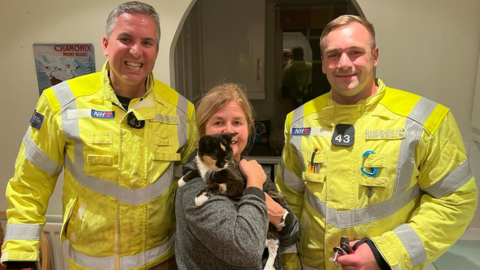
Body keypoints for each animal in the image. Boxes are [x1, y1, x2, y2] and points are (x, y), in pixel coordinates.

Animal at [178, 133, 286, 270]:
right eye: (214, 156)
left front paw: (200, 197)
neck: (209, 168)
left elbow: (217, 185)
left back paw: (268, 266)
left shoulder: (238, 182)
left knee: (274, 246)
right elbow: (195, 171)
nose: (222, 165)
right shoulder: (202, 168)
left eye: (227, 156)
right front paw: (182, 180)